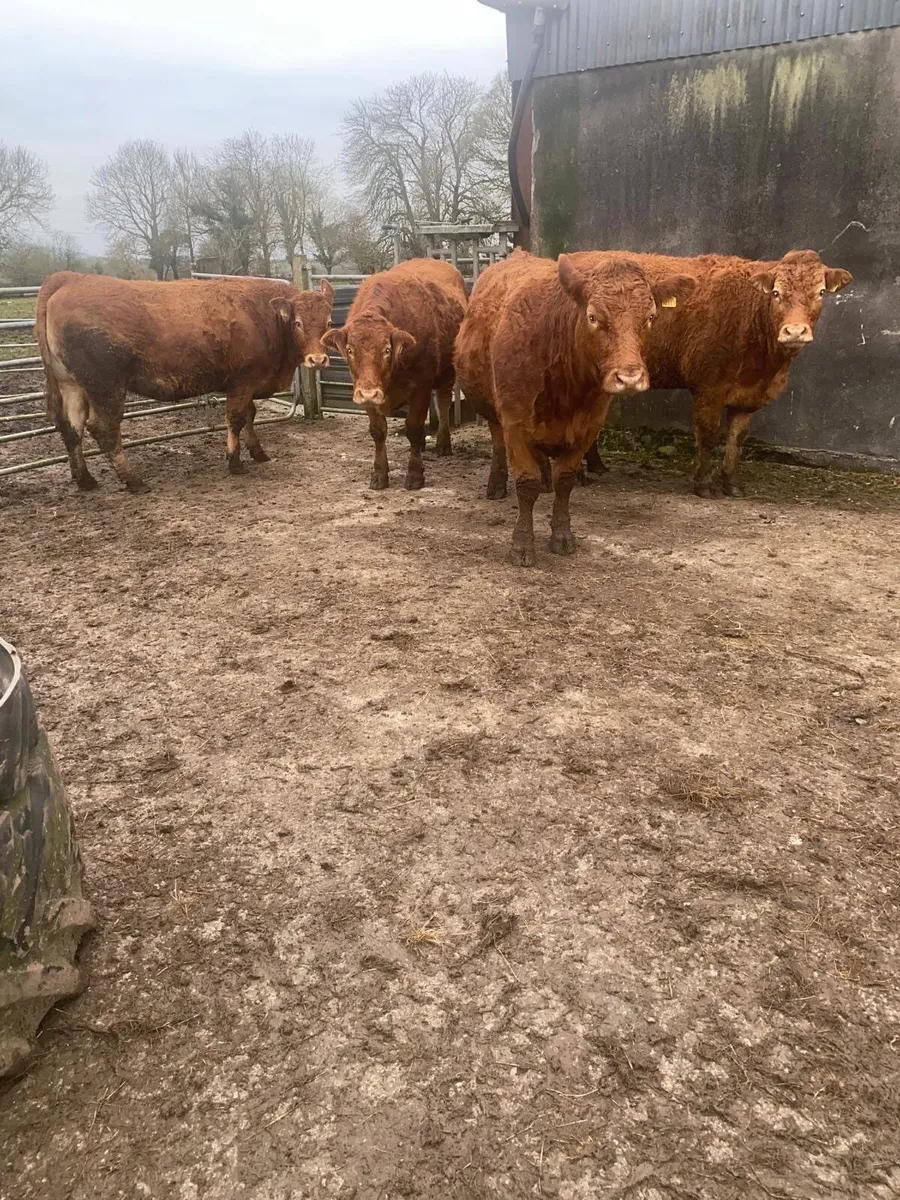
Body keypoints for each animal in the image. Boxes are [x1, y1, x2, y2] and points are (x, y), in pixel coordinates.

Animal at [35, 271, 335, 491]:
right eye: (297, 323)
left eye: (330, 322)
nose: (318, 360)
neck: (264, 318)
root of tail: (70, 278)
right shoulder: (242, 382)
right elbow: (237, 419)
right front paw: (235, 461)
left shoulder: (248, 385)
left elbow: (250, 415)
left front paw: (258, 452)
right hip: (106, 387)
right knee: (104, 429)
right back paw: (134, 481)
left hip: (72, 385)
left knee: (71, 427)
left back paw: (85, 479)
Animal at [322, 258, 467, 491]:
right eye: (350, 350)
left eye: (387, 350)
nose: (369, 393)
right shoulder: (365, 391)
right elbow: (378, 430)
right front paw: (379, 473)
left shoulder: (421, 384)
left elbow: (414, 427)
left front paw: (415, 474)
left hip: (447, 372)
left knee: (444, 402)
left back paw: (443, 443)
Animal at [454, 249, 695, 566]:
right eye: (593, 317)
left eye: (651, 317)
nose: (630, 377)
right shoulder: (515, 423)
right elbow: (526, 484)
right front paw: (522, 545)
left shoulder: (587, 427)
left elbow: (565, 481)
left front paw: (562, 536)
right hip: (491, 410)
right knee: (497, 443)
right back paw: (496, 484)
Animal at [574, 249, 853, 497]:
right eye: (776, 292)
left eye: (820, 292)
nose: (795, 331)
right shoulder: (709, 387)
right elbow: (708, 436)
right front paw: (703, 485)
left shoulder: (748, 396)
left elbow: (736, 439)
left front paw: (731, 483)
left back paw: (596, 466)